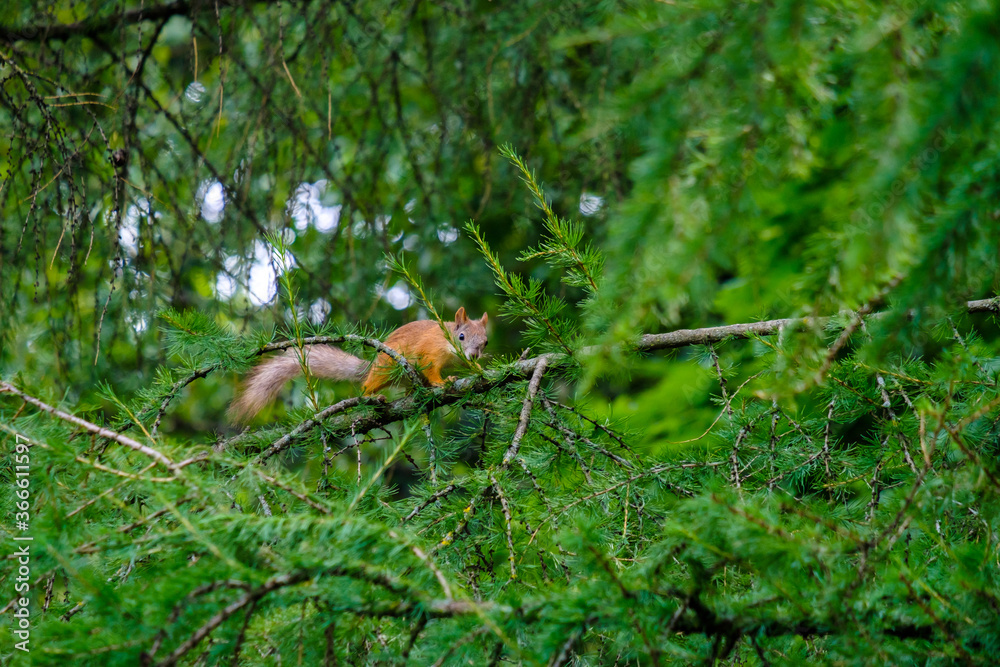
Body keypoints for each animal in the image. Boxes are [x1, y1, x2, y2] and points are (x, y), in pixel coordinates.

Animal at [228, 308, 492, 422]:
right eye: (461, 337)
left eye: (486, 342)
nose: (473, 355)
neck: (447, 343)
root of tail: (371, 364)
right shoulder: (429, 351)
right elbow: (431, 369)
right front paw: (442, 382)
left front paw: (479, 370)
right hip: (386, 368)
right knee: (367, 387)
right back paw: (374, 396)